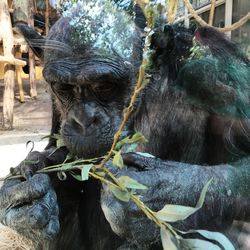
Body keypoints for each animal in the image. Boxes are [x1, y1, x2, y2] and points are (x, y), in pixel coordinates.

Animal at [0, 0, 250, 250]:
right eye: (63, 88)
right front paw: (24, 196)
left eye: (104, 86)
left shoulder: (215, 64)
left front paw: (158, 191)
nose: (83, 119)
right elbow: (55, 150)